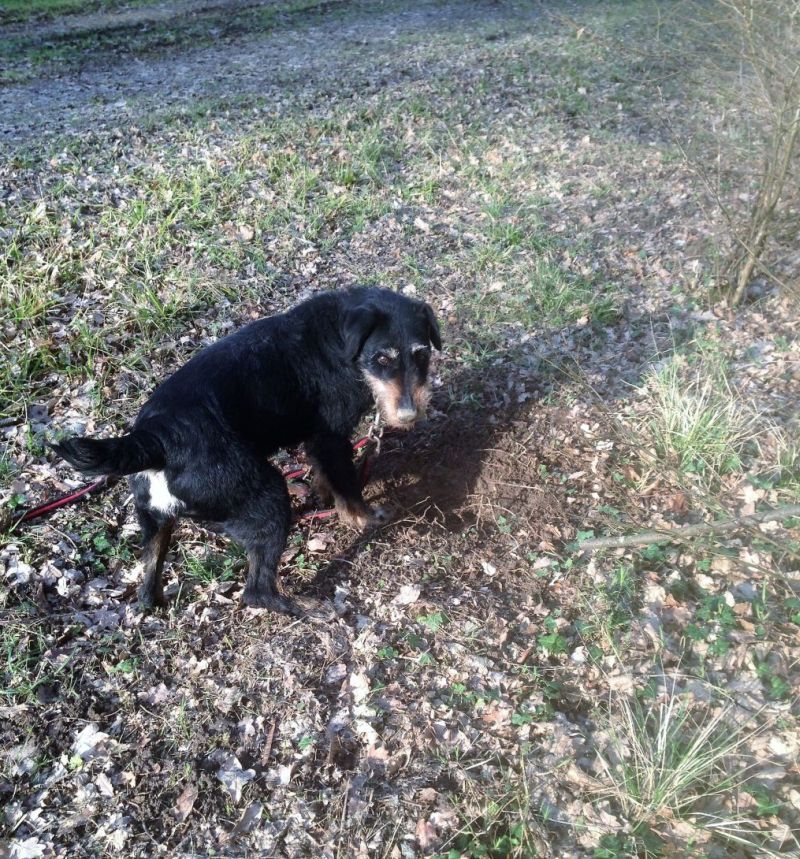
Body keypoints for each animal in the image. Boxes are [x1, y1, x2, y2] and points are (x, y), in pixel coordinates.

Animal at [53, 292, 440, 616]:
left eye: (422, 355)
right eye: (382, 358)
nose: (409, 416)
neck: (341, 340)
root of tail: (154, 438)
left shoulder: (317, 440)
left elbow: (324, 472)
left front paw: (321, 493)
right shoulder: (330, 437)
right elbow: (348, 487)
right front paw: (364, 518)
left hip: (155, 520)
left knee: (149, 580)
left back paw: (158, 603)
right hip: (267, 497)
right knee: (257, 591)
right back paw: (305, 606)